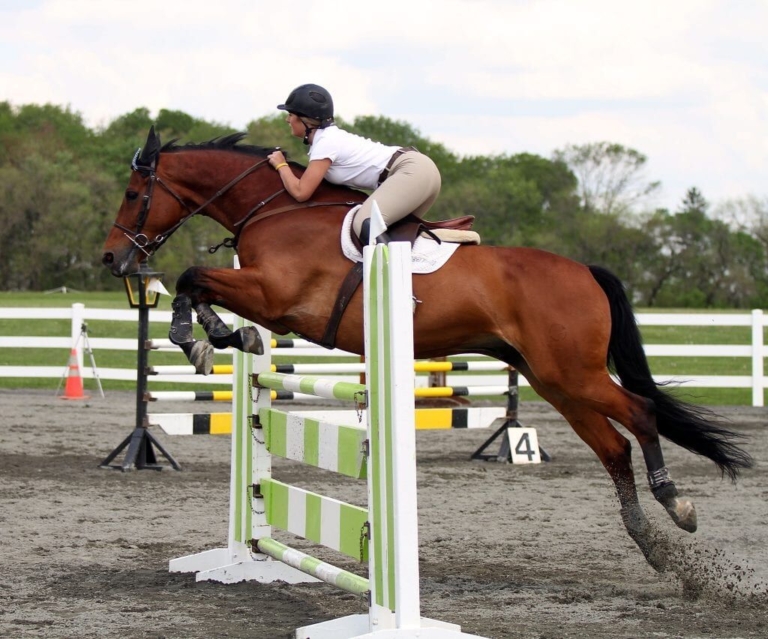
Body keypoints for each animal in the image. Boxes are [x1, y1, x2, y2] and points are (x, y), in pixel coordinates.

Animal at [102, 127, 752, 573]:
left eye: (134, 192)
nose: (113, 259)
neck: (279, 207)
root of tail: (584, 271)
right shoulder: (265, 294)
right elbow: (196, 284)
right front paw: (216, 339)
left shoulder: (277, 296)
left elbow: (191, 276)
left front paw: (209, 340)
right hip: (553, 379)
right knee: (613, 448)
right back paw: (650, 544)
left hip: (575, 373)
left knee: (640, 416)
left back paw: (677, 506)